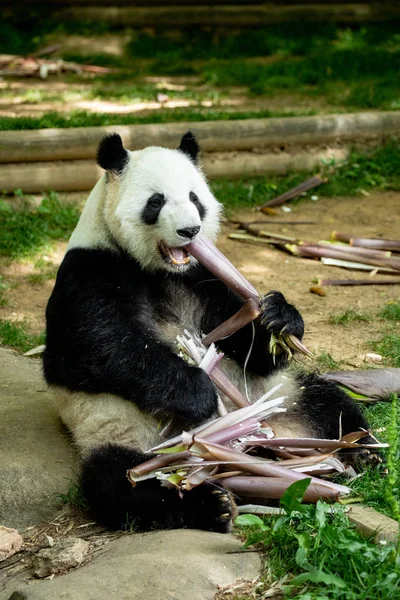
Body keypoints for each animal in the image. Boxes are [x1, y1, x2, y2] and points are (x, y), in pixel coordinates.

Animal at [43, 134, 372, 532]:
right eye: (156, 201)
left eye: (194, 198)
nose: (190, 231)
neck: (160, 270)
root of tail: (263, 447)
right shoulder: (90, 270)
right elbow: (93, 352)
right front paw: (198, 392)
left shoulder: (204, 277)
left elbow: (249, 347)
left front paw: (278, 320)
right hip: (128, 434)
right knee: (122, 481)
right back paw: (212, 504)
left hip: (284, 396)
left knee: (330, 404)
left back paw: (362, 452)